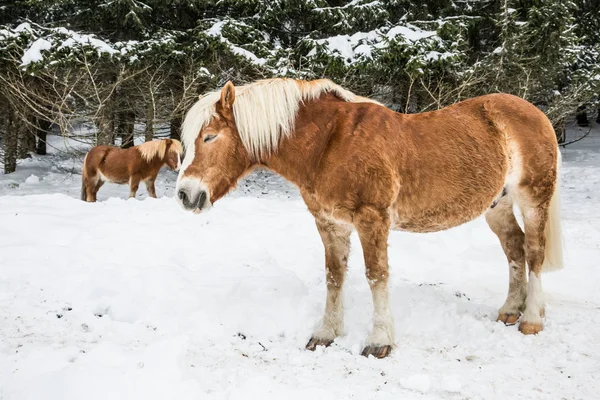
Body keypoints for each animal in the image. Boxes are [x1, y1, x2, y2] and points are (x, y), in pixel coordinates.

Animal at [173, 78, 564, 360]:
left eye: (210, 136)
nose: (185, 195)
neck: (329, 143)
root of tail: (532, 112)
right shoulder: (329, 223)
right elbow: (334, 276)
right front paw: (326, 334)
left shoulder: (371, 220)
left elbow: (377, 276)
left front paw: (379, 341)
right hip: (497, 205)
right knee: (514, 249)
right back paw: (511, 310)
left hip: (533, 198)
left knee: (534, 251)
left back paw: (531, 319)